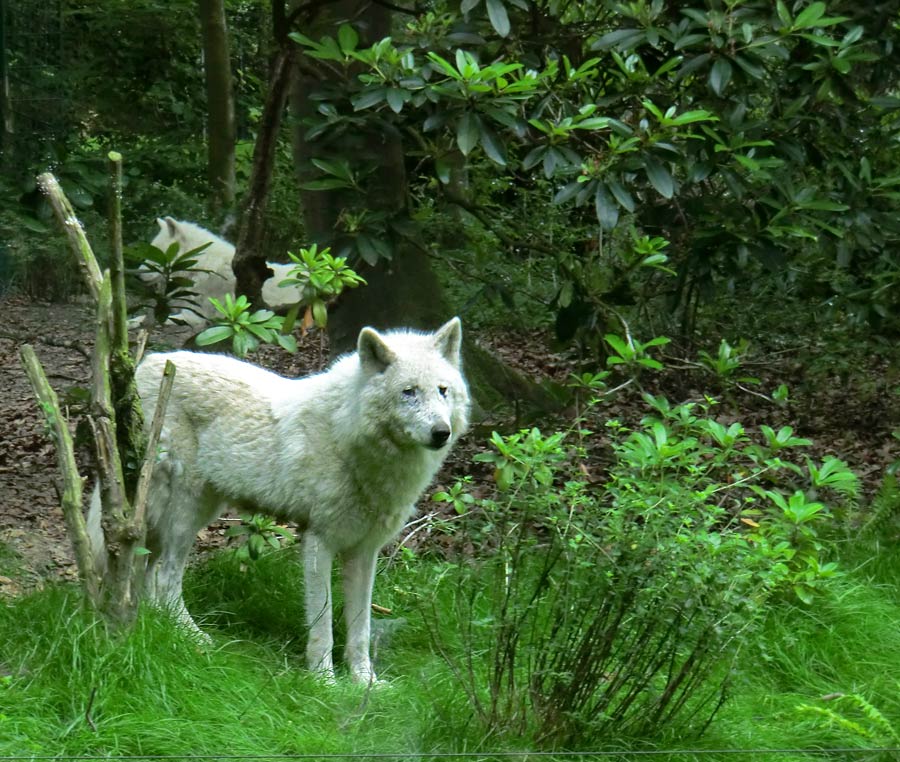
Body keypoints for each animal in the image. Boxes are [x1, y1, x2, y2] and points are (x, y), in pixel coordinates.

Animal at [89, 318, 472, 680]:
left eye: (443, 391)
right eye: (409, 392)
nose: (441, 432)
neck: (347, 435)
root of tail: (146, 364)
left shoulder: (363, 551)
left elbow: (360, 628)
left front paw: (364, 682)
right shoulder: (318, 542)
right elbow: (323, 624)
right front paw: (324, 681)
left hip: (190, 513)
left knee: (150, 577)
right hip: (183, 515)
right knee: (165, 579)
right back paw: (195, 640)